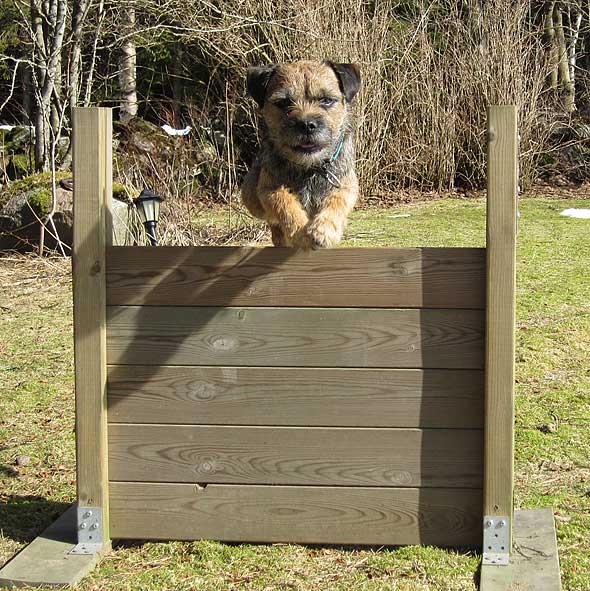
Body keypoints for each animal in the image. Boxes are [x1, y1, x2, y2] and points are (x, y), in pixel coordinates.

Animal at [241, 60, 361, 249]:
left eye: (326, 100)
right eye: (283, 102)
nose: (306, 124)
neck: (309, 167)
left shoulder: (347, 184)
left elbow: (337, 200)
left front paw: (324, 230)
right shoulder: (267, 189)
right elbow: (283, 200)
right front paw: (301, 234)